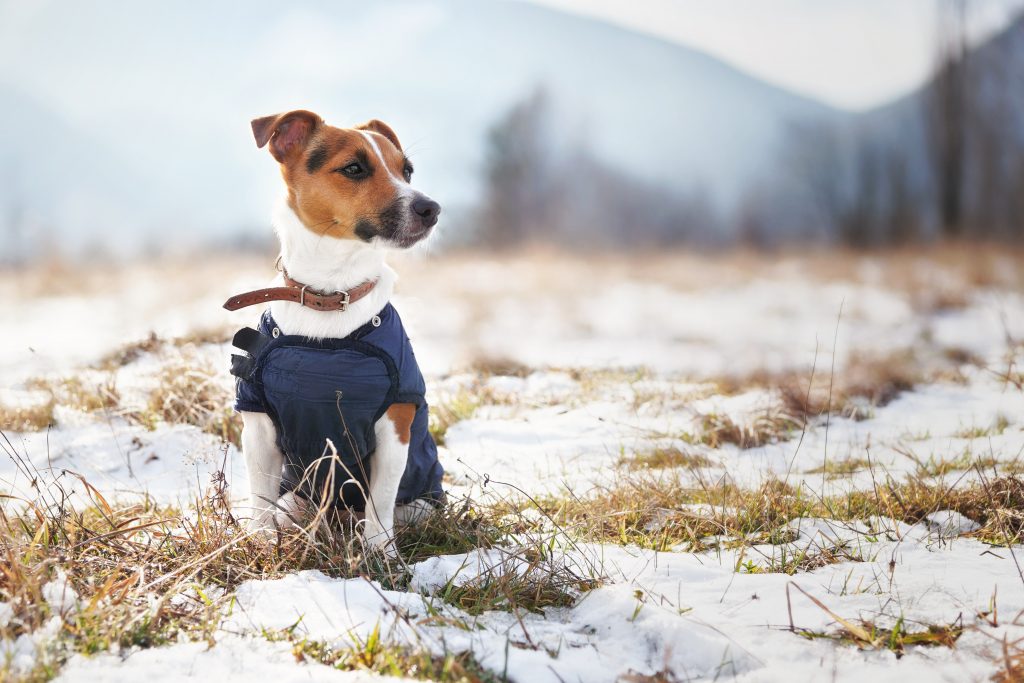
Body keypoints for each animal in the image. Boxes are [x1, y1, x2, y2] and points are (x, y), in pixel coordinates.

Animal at [224, 108, 444, 557]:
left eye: (407, 171)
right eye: (354, 168)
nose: (431, 208)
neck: (329, 294)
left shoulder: (395, 423)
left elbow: (380, 500)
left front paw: (380, 553)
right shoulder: (258, 425)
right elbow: (260, 495)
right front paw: (260, 539)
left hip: (420, 503)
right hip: (297, 497)